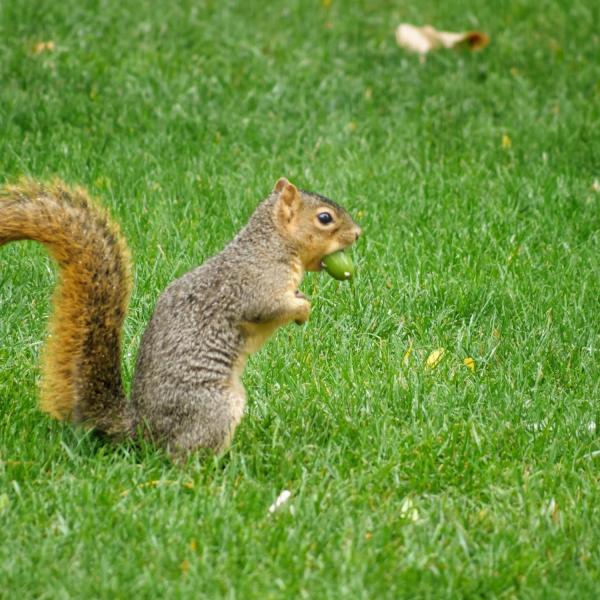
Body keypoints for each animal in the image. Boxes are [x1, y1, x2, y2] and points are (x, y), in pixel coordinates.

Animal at [0, 176, 360, 458]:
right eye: (324, 218)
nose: (358, 233)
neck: (271, 245)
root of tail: (142, 430)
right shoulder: (257, 286)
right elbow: (269, 308)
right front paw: (302, 309)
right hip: (215, 406)